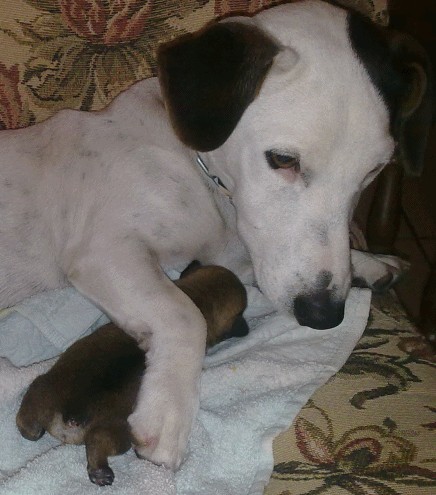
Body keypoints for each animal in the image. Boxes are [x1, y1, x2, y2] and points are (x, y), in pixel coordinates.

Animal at [16, 266, 249, 486]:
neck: (199, 297)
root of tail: (73, 413)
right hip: (120, 433)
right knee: (97, 442)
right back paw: (101, 473)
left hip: (42, 389)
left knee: (28, 419)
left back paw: (32, 431)